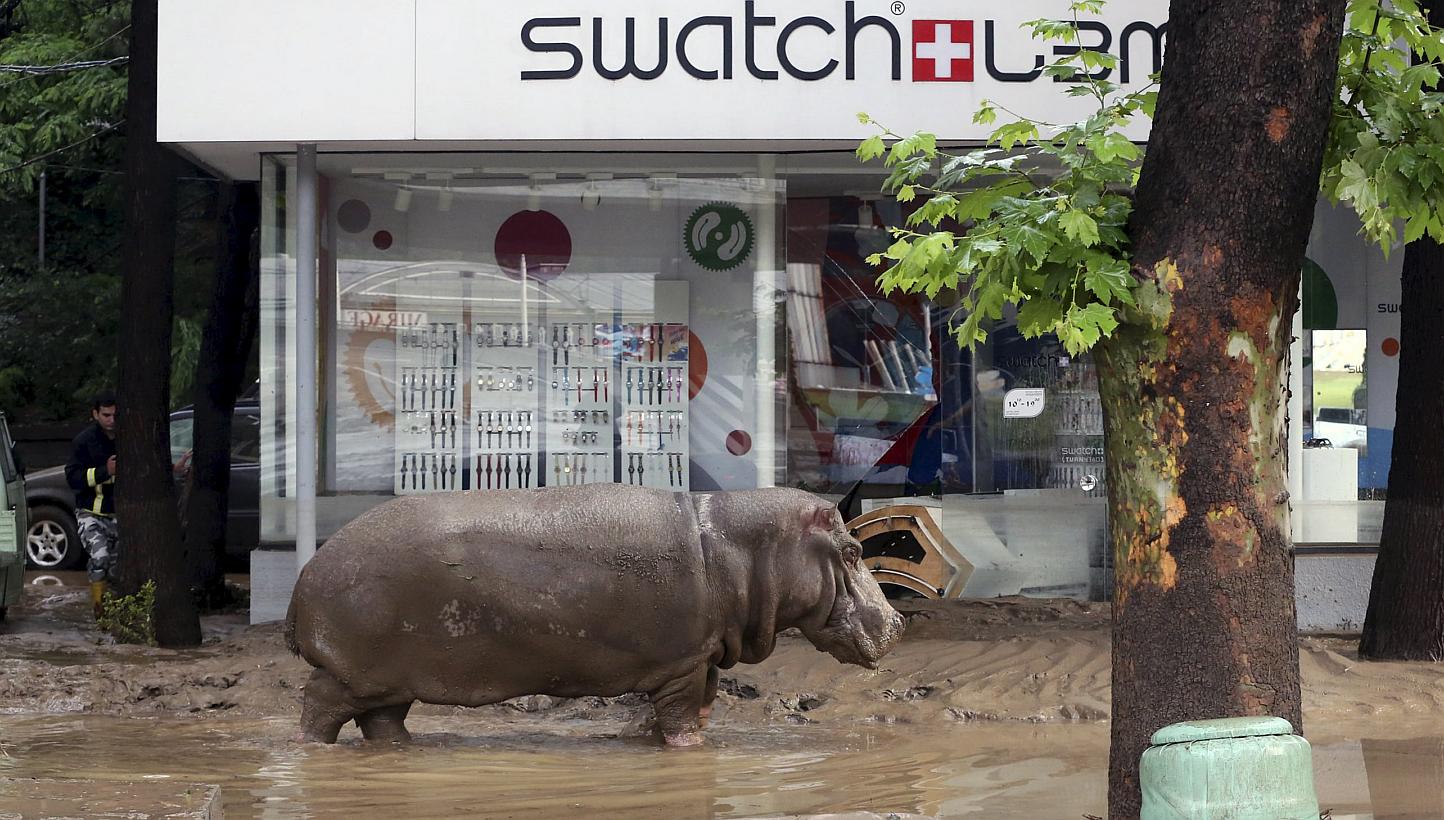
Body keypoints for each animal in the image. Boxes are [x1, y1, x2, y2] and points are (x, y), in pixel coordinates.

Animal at [285, 485, 904, 746]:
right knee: (317, 710)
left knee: (383, 724)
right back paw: (309, 752)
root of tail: (306, 574)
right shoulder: (684, 664)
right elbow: (683, 720)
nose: (898, 623)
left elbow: (692, 711)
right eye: (853, 551)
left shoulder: (699, 659)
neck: (743, 546)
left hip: (389, 681)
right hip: (351, 674)